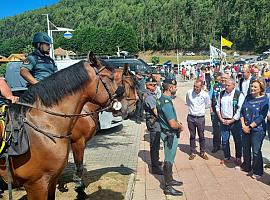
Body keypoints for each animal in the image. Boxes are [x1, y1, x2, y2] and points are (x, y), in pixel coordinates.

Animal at [0, 53, 122, 200]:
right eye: (110, 78)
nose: (124, 103)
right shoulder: (36, 185)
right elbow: (79, 166)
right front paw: (80, 189)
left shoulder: (51, 180)